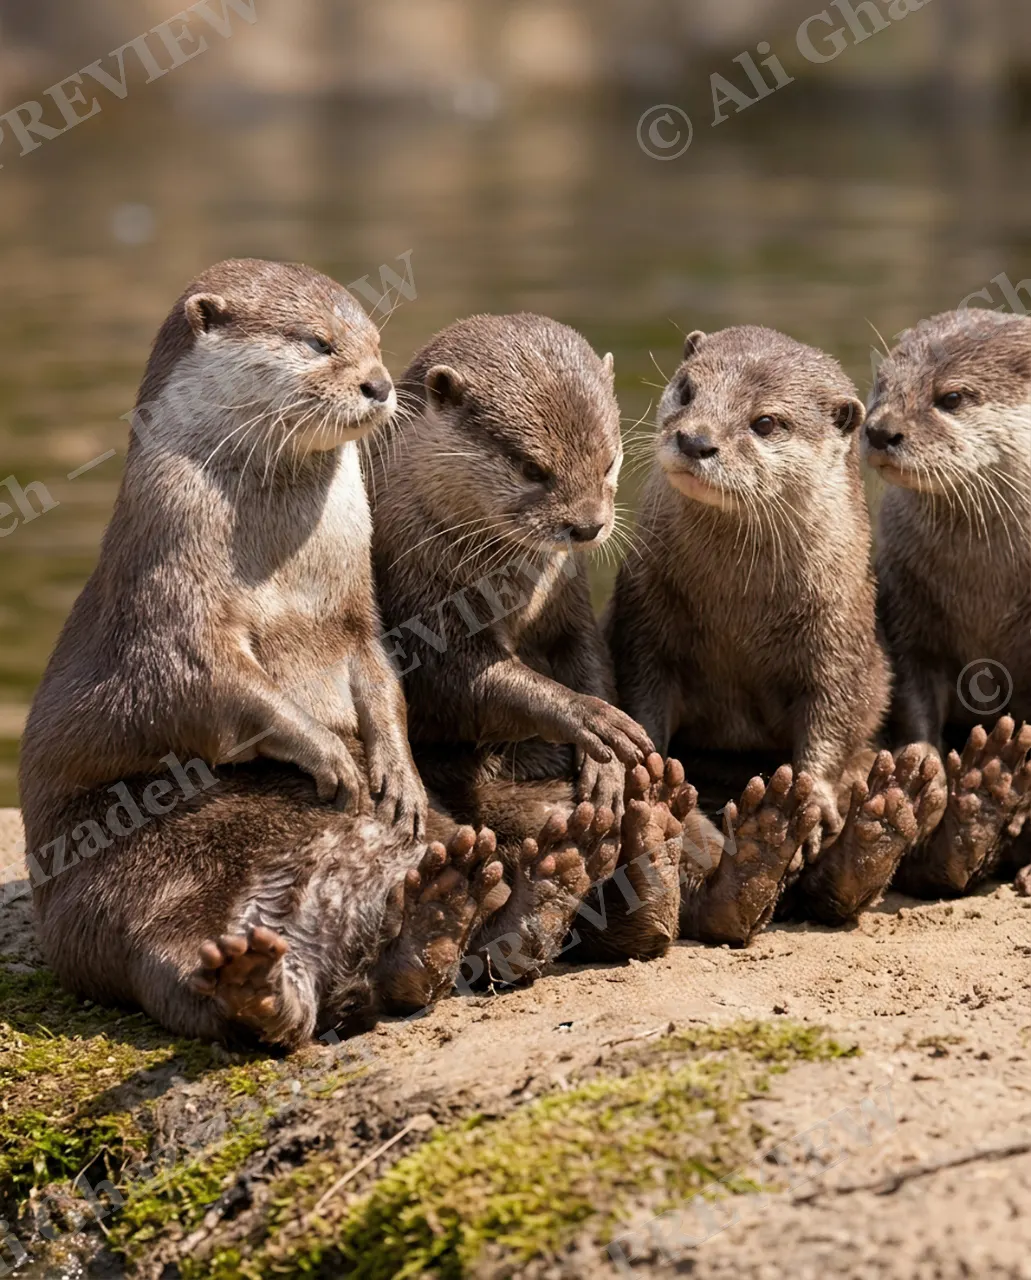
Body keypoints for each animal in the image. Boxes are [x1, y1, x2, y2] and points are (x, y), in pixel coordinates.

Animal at [18, 260, 507, 1047]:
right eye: (318, 343)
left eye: (375, 341)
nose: (378, 383)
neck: (283, 573)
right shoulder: (174, 599)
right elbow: (214, 686)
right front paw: (330, 756)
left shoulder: (354, 611)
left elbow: (380, 677)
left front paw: (396, 774)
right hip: (130, 898)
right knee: (179, 970)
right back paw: (258, 982)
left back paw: (447, 908)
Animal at [370, 313, 808, 969]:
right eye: (533, 469)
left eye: (608, 461)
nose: (588, 526)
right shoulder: (417, 605)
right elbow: (463, 685)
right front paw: (590, 721)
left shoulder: (567, 601)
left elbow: (588, 656)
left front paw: (607, 759)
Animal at [607, 325, 946, 940]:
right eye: (687, 389)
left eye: (765, 422)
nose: (695, 439)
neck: (741, 612)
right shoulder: (644, 617)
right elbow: (642, 689)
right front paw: (650, 769)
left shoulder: (843, 639)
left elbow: (835, 714)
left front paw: (816, 797)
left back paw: (885, 815)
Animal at [864, 307, 1031, 896]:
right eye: (881, 385)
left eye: (952, 397)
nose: (879, 430)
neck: (986, 591)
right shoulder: (909, 614)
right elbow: (915, 699)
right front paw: (923, 771)